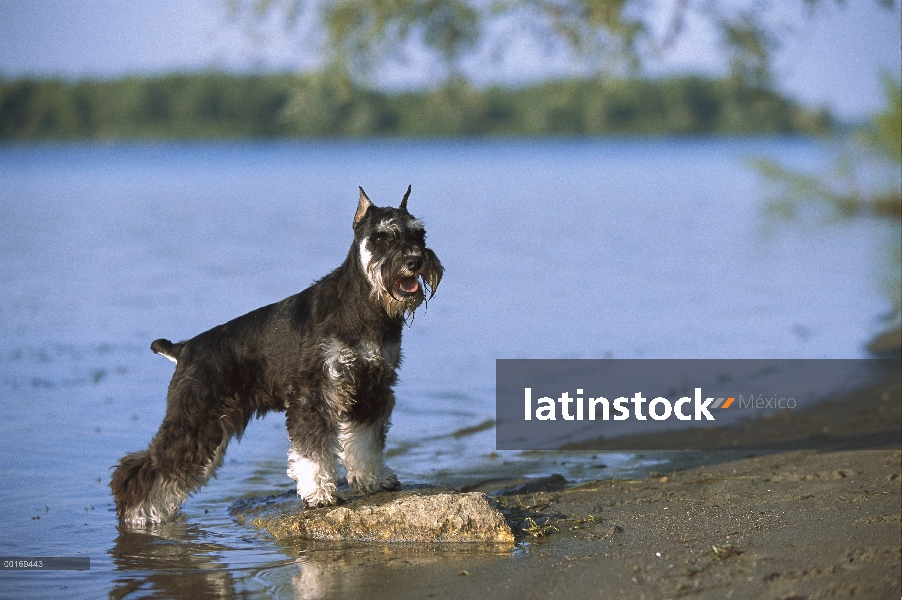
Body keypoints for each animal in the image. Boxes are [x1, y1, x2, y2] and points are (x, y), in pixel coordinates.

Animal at [111, 186, 444, 524]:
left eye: (420, 234)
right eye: (381, 237)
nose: (415, 261)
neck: (363, 306)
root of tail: (184, 348)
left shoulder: (372, 389)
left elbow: (366, 441)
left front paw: (373, 479)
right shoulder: (314, 393)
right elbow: (312, 451)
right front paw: (318, 494)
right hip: (193, 419)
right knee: (143, 468)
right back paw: (138, 514)